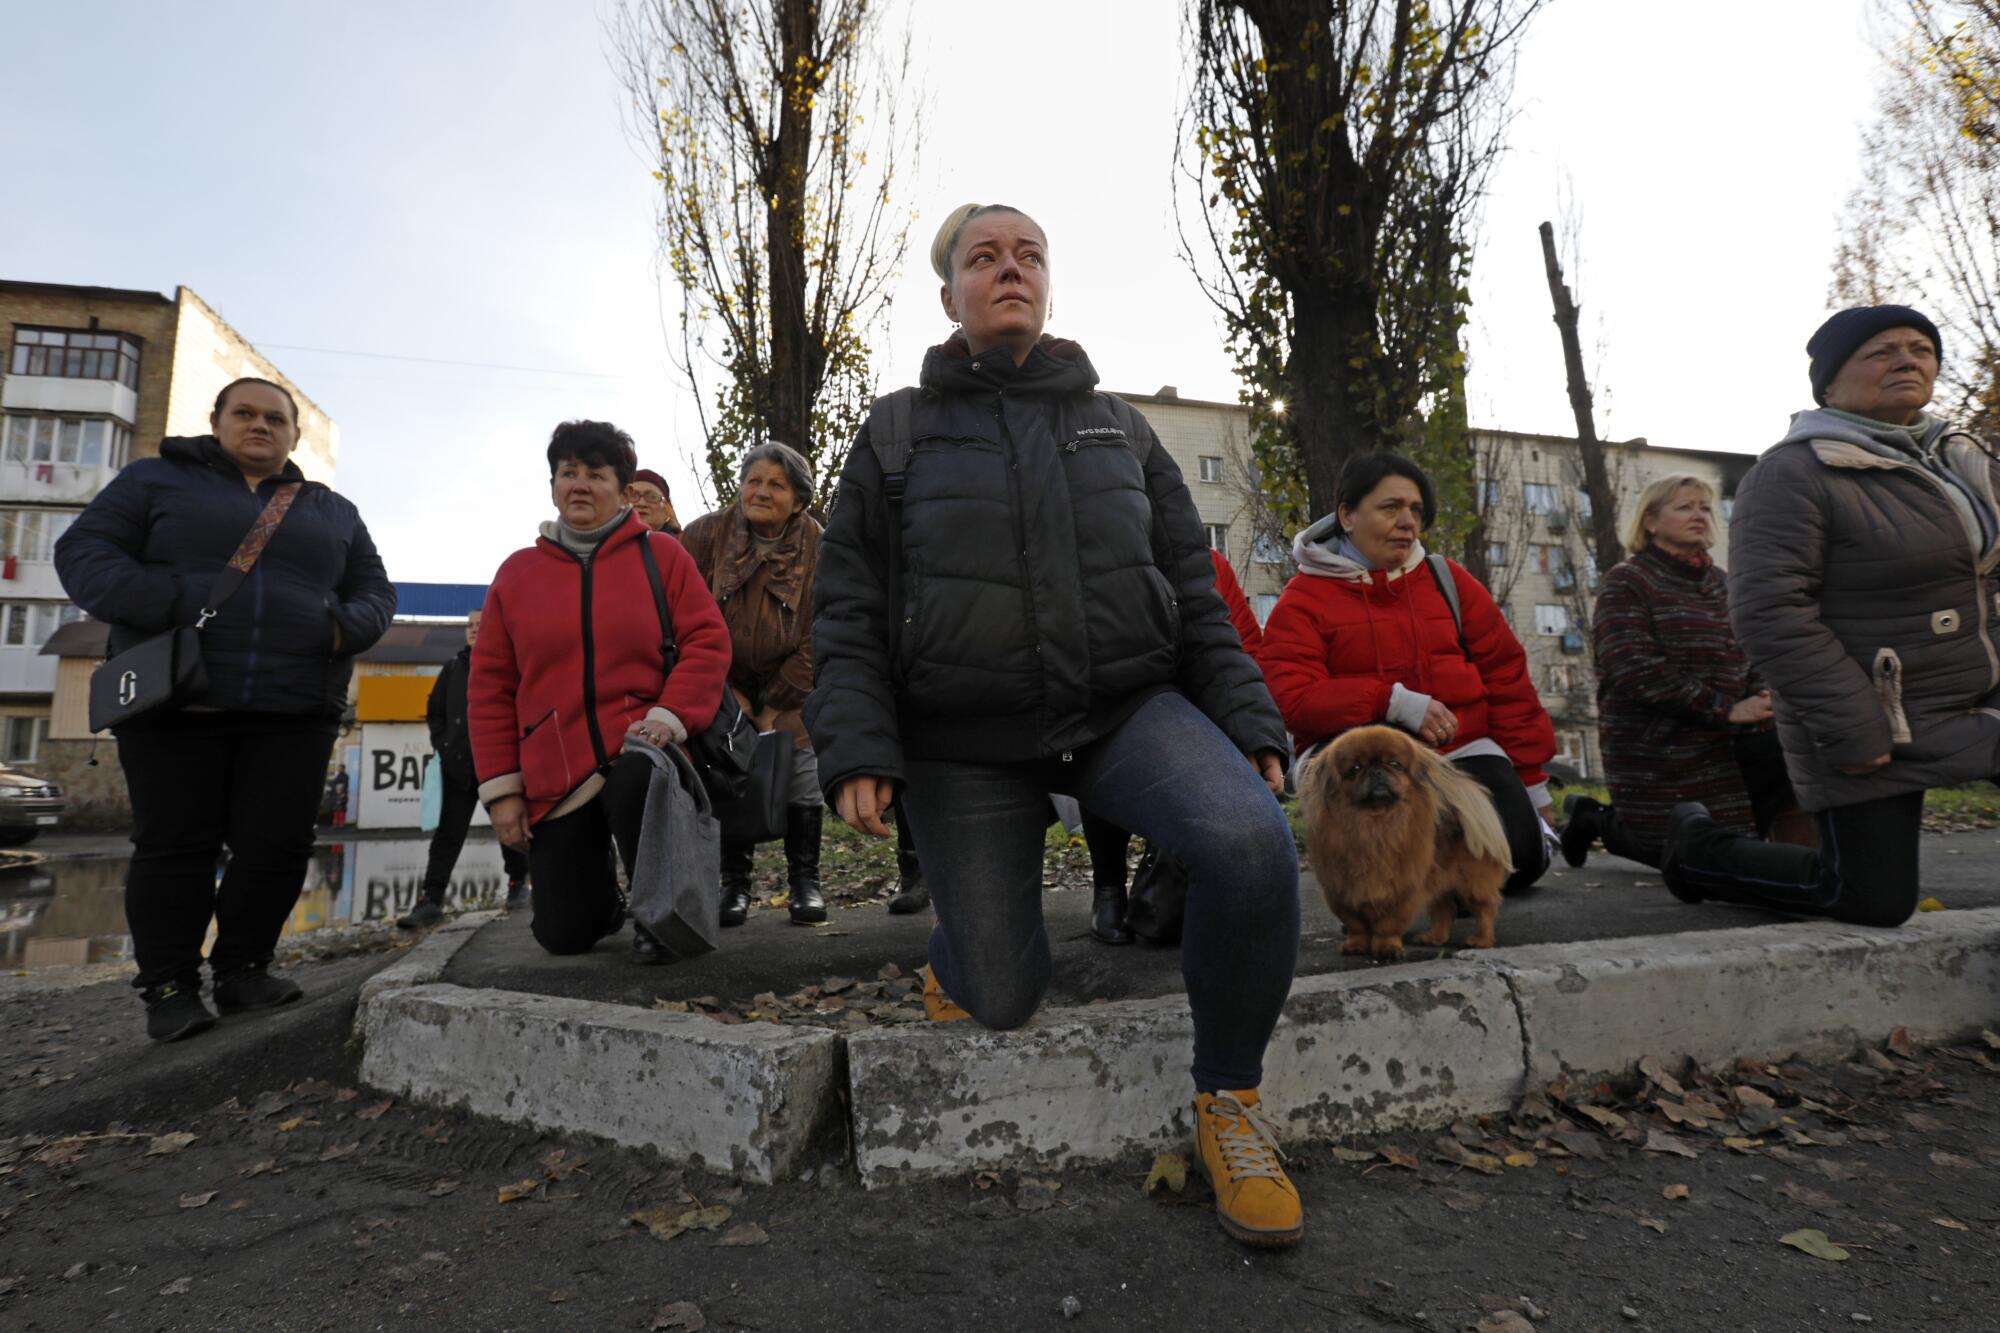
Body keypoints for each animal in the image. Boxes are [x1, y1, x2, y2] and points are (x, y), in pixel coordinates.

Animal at [1296, 728, 1512, 956]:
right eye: (1355, 768)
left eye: (1394, 764)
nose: (1375, 771)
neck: (1375, 824)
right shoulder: (1342, 891)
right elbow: (1356, 924)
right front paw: (1356, 945)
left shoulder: (1404, 890)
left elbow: (1389, 924)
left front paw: (1387, 947)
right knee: (1444, 909)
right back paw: (1435, 938)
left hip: (1473, 883)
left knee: (1485, 909)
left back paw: (1482, 940)